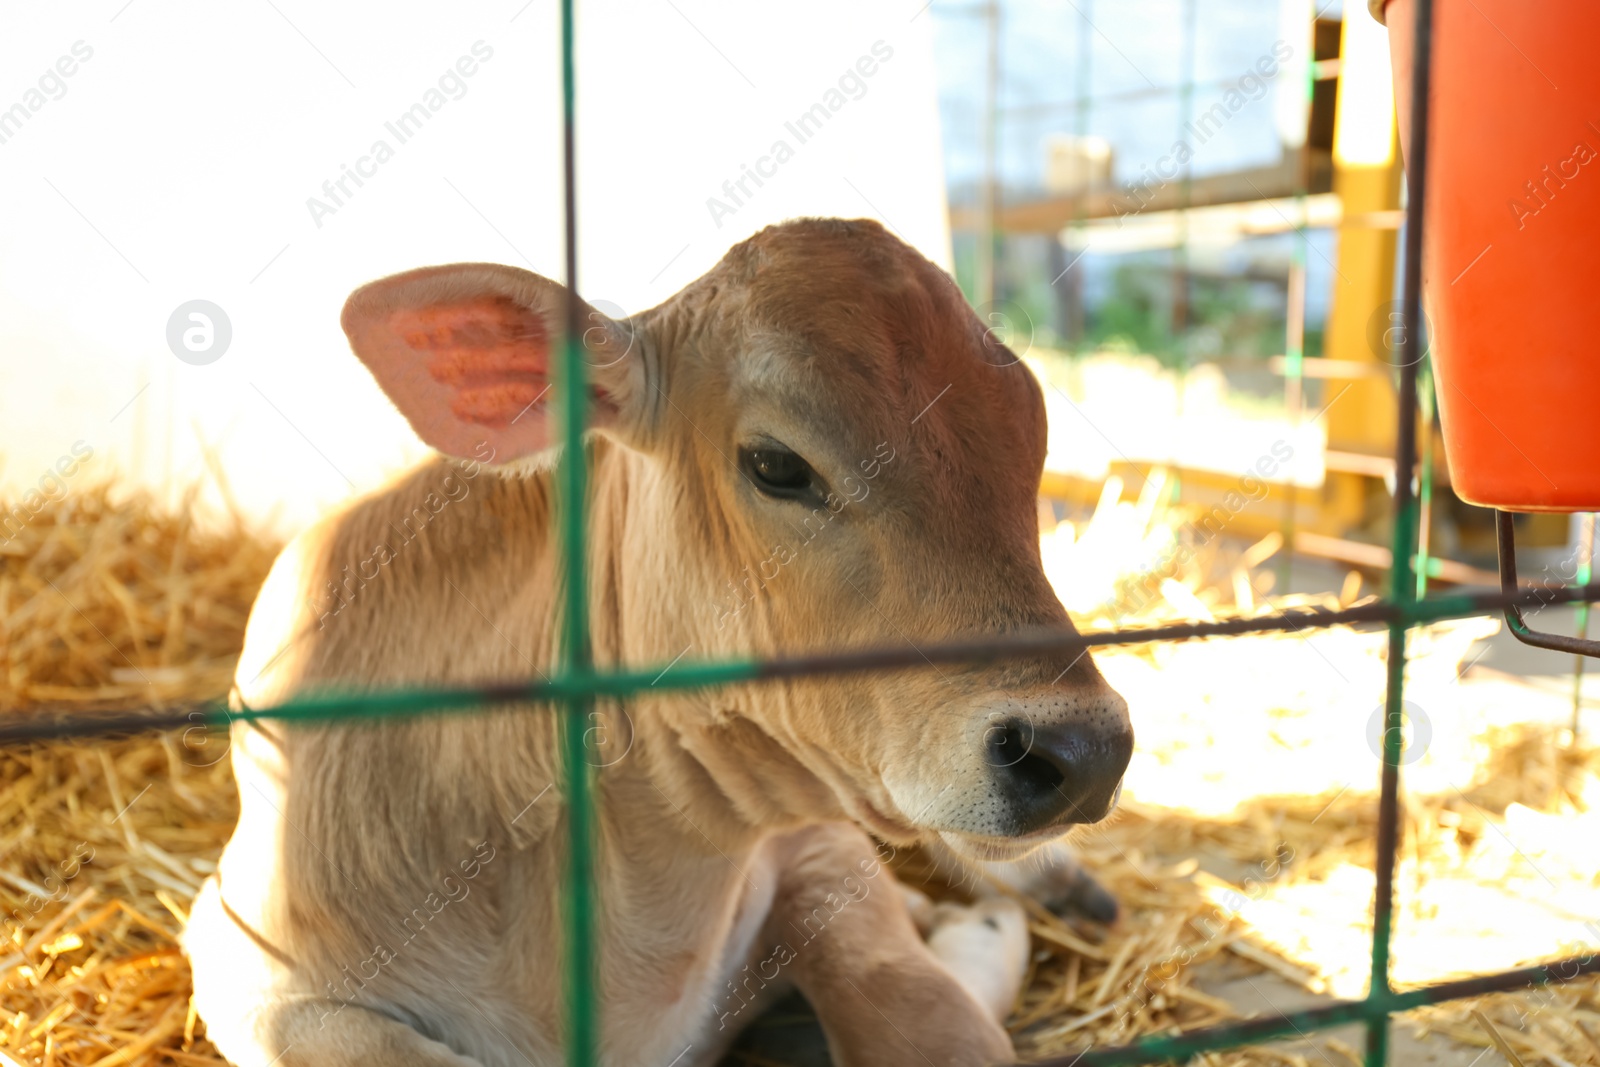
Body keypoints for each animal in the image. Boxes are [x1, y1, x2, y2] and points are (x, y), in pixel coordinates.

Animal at [187, 219, 1132, 1067]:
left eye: (1032, 437)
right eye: (776, 465)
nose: (1082, 749)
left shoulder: (814, 844)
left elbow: (926, 1016)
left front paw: (974, 934)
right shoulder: (251, 967)